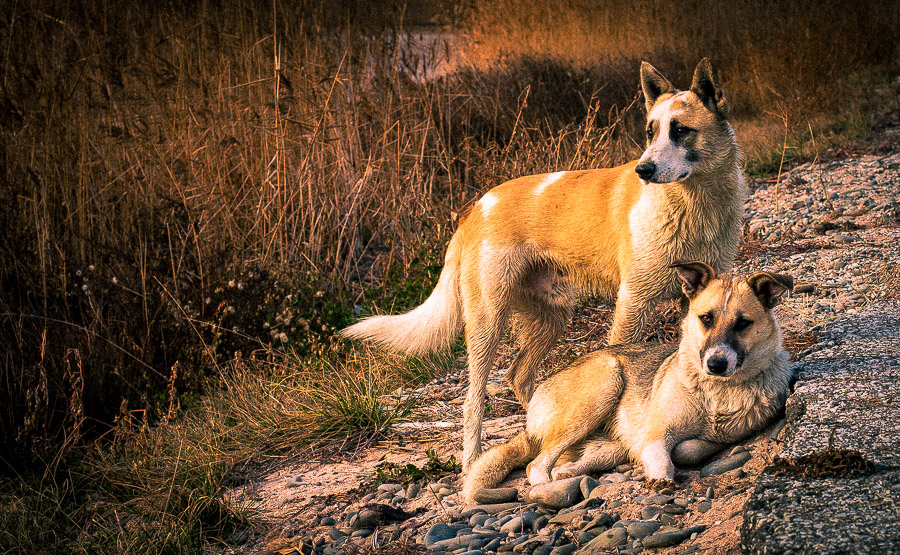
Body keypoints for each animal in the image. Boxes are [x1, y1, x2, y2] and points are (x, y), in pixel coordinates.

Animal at [342, 58, 744, 472]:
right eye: (650, 132)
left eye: (680, 131)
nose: (643, 170)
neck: (695, 204)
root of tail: (474, 208)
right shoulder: (633, 301)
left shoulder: (692, 299)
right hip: (488, 321)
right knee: (473, 399)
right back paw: (472, 461)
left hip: (550, 317)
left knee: (520, 377)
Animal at [460, 262, 792, 502]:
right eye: (706, 318)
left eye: (743, 323)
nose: (716, 364)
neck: (716, 393)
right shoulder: (657, 434)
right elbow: (661, 454)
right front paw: (661, 477)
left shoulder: (727, 435)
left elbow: (692, 448)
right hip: (604, 383)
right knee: (536, 464)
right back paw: (545, 487)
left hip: (610, 446)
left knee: (569, 463)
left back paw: (569, 474)